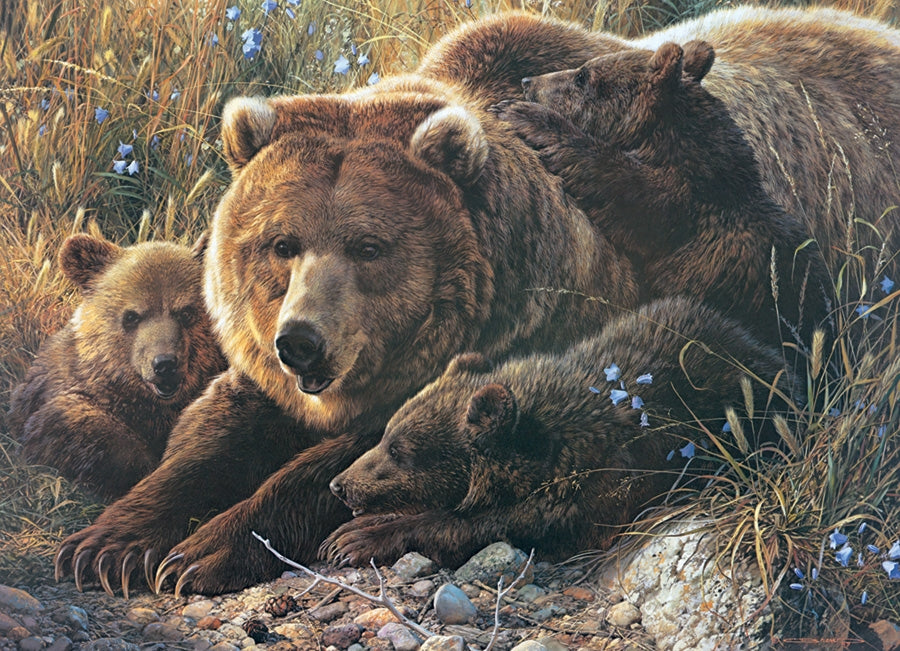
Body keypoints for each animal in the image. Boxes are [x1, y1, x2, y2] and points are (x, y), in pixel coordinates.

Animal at [53, 75, 641, 596]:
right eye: (282, 243)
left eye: (368, 246)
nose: (300, 342)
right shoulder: (262, 382)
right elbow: (206, 441)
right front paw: (103, 547)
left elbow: (350, 466)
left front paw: (200, 553)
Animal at [323, 296, 789, 567]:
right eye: (386, 435)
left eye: (399, 450)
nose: (339, 485)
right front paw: (348, 532)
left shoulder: (587, 494)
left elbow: (478, 526)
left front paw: (358, 540)